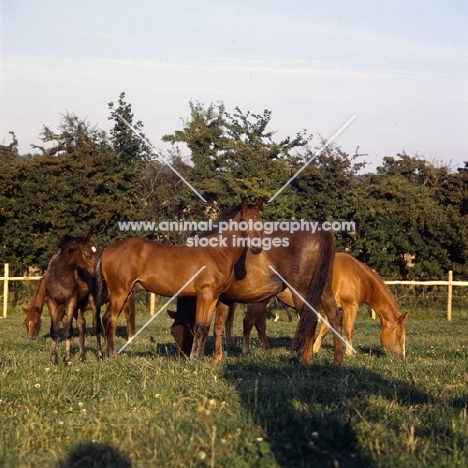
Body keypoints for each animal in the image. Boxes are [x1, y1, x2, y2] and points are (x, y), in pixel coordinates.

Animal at [24, 234, 99, 366]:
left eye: (37, 323)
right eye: (25, 323)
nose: (31, 337)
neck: (59, 278)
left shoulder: (70, 302)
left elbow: (68, 329)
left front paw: (67, 359)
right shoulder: (53, 303)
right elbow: (55, 329)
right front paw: (54, 359)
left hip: (92, 303)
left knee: (96, 326)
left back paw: (101, 355)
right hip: (78, 307)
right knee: (81, 325)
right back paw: (82, 357)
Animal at [94, 197, 264, 362]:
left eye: (261, 221)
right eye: (244, 221)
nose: (257, 248)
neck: (216, 253)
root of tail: (106, 250)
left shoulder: (214, 297)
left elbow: (206, 326)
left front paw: (200, 357)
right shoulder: (205, 294)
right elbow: (199, 326)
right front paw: (195, 359)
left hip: (124, 293)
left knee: (108, 319)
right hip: (119, 292)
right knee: (110, 319)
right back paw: (111, 358)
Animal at [169, 227, 344, 366]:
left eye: (177, 332)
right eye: (172, 332)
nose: (179, 358)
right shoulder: (224, 299)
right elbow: (218, 327)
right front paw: (216, 359)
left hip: (302, 292)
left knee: (310, 320)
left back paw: (306, 360)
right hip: (323, 289)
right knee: (334, 316)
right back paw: (338, 360)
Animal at [239, 252, 408, 358]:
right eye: (399, 335)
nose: (401, 357)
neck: (359, 277)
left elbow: (325, 329)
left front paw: (314, 349)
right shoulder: (350, 307)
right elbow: (349, 330)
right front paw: (349, 353)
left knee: (259, 324)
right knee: (249, 321)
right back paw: (246, 351)